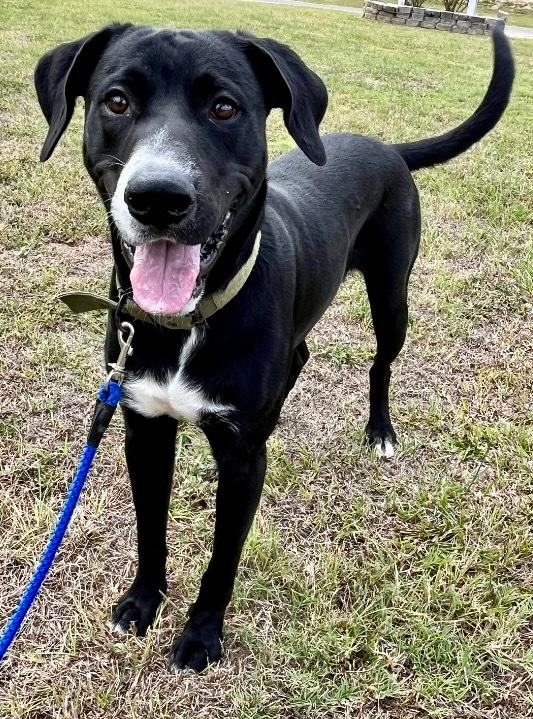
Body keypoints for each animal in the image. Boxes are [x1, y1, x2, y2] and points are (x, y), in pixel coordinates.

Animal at [32, 25, 512, 672]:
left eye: (224, 108)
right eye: (116, 101)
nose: (157, 197)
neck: (186, 321)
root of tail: (385, 148)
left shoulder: (241, 463)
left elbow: (222, 558)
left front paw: (201, 636)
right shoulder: (145, 430)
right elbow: (149, 527)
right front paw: (143, 601)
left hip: (392, 298)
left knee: (381, 364)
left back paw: (380, 431)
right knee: (300, 357)